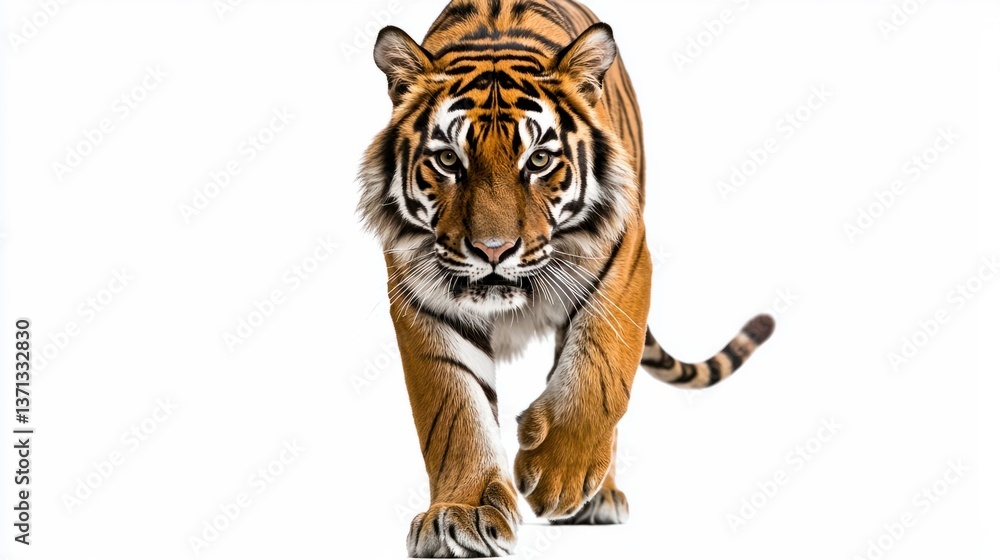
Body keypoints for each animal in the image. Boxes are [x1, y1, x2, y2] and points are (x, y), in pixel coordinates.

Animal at [358, 0, 775, 556]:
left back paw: (597, 497)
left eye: (538, 160)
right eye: (448, 159)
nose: (493, 250)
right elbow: (454, 410)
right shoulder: (423, 297)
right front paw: (461, 514)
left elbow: (600, 374)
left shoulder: (625, 261)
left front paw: (557, 475)